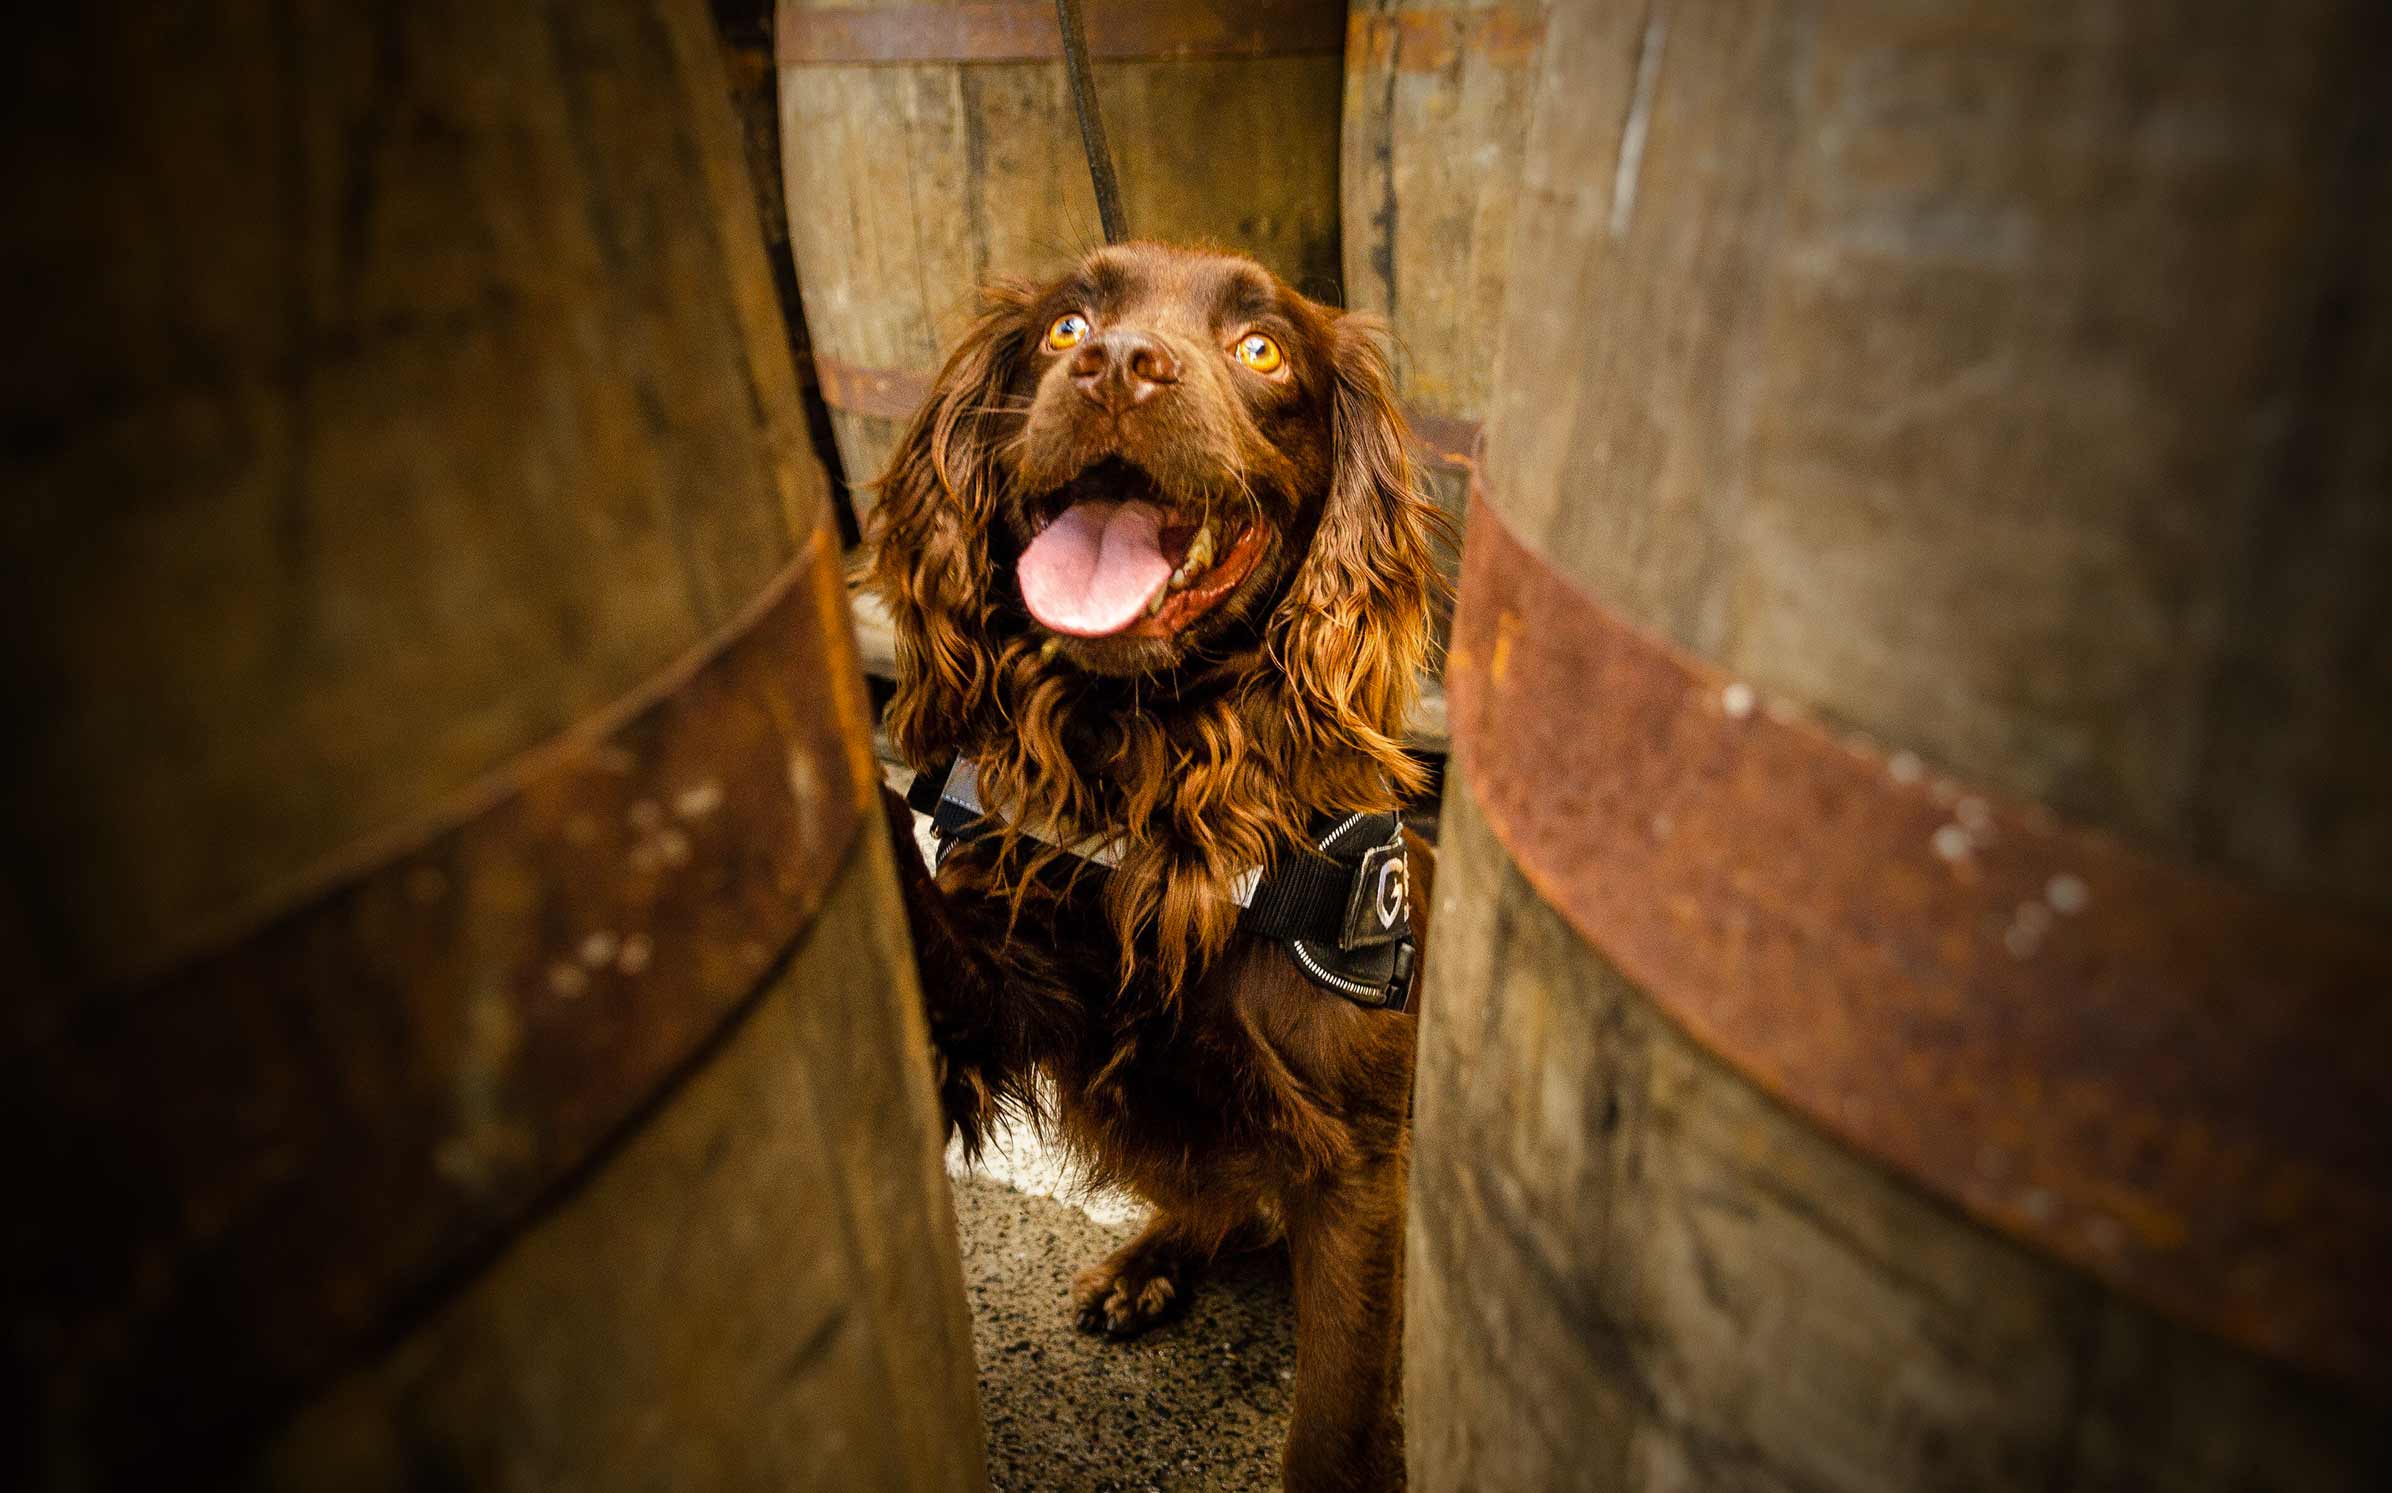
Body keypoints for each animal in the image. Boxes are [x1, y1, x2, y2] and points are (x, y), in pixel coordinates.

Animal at [875, 239, 1444, 1483]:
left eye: (1261, 347)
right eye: (1064, 324)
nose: (1116, 367)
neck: (1156, 774)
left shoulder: (1359, 1159)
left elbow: (1336, 1414)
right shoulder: (997, 1001)